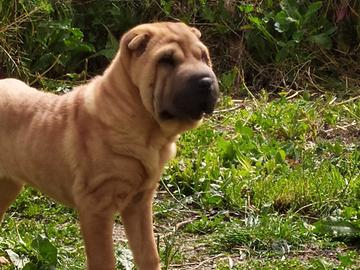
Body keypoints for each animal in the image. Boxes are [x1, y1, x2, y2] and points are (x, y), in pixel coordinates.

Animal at [0, 21, 219, 270]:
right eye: (166, 60)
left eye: (203, 57)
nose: (206, 82)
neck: (148, 130)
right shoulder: (96, 206)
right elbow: (104, 259)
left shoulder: (139, 201)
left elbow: (148, 253)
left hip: (8, 186)